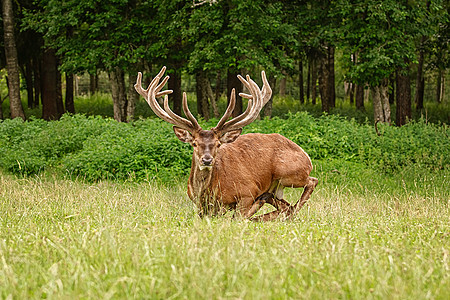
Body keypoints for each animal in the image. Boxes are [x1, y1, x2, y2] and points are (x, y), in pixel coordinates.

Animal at [135, 67, 318, 220]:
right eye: (194, 143)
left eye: (218, 144)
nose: (207, 160)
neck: (209, 192)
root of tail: (306, 156)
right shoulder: (197, 204)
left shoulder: (248, 191)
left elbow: (237, 216)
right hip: (277, 188)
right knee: (285, 206)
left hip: (289, 173)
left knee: (310, 183)